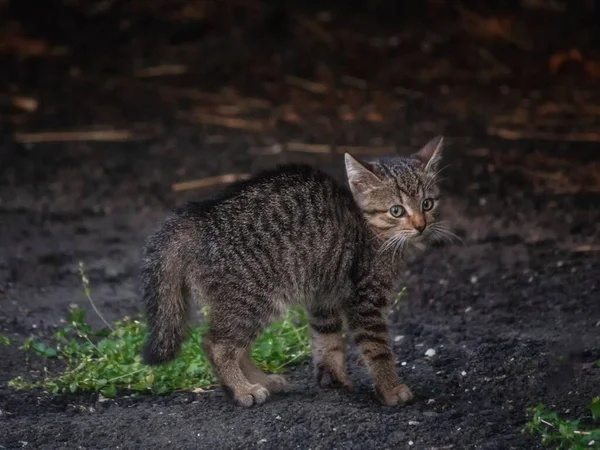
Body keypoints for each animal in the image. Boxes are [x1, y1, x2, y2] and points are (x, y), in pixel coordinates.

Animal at [143, 135, 448, 406]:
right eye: (396, 210)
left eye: (427, 204)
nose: (421, 225)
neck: (370, 231)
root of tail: (199, 218)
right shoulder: (365, 300)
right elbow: (378, 348)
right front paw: (390, 388)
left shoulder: (324, 295)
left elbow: (327, 340)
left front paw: (333, 378)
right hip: (252, 297)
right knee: (215, 343)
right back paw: (242, 389)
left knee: (237, 346)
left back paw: (262, 381)